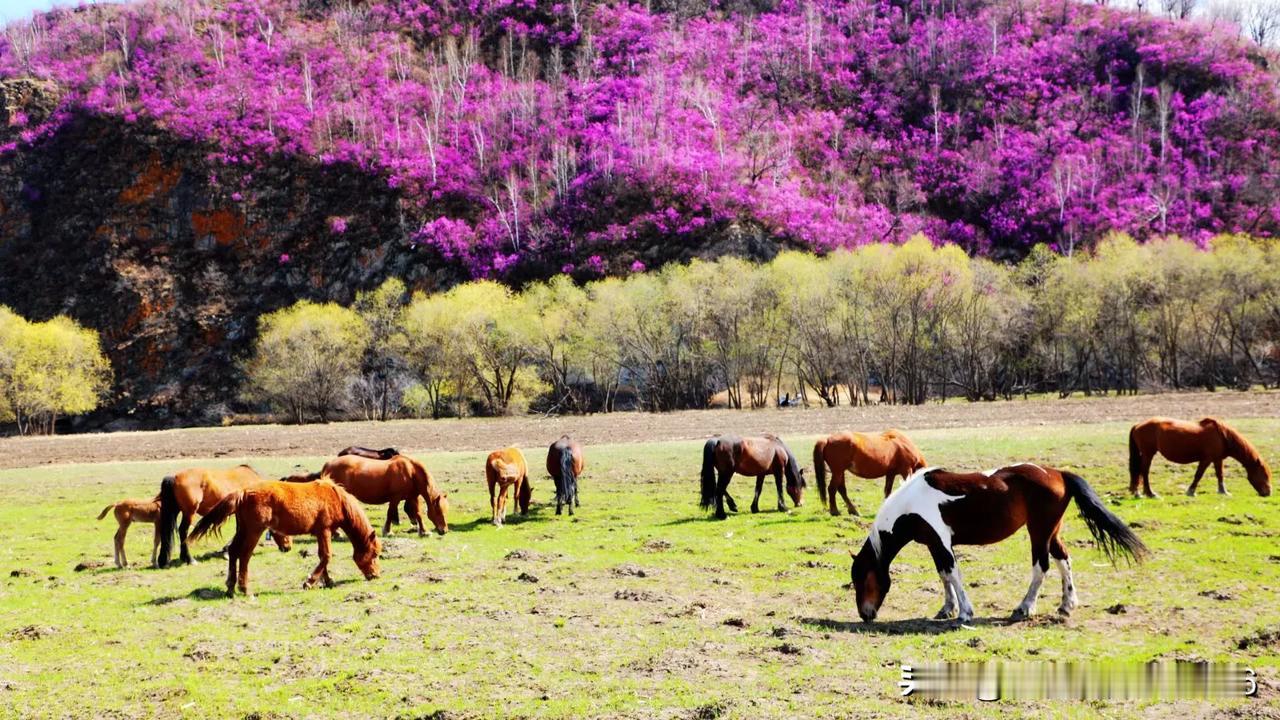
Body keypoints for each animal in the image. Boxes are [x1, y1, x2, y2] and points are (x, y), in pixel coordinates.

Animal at [158, 458, 289, 566]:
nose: (288, 548)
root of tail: (174, 478)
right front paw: (227, 550)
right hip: (189, 512)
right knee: (183, 531)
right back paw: (189, 559)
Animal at [188, 476, 378, 594]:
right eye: (375, 554)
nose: (376, 575)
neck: (336, 498)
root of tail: (243, 493)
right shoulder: (324, 530)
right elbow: (326, 556)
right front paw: (309, 582)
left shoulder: (320, 533)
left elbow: (322, 557)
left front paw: (327, 581)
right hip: (254, 531)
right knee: (245, 555)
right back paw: (245, 589)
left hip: (243, 530)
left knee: (234, 551)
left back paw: (230, 587)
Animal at [849, 461, 1152, 620]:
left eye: (862, 579)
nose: (865, 614)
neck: (910, 503)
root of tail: (1058, 474)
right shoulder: (934, 545)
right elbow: (944, 575)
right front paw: (946, 609)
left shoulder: (942, 542)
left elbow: (953, 574)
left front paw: (964, 613)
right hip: (1051, 532)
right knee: (1064, 560)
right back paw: (1067, 605)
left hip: (1038, 532)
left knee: (1041, 567)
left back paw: (1025, 607)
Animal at [1131, 412, 1269, 497]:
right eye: (1264, 475)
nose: (1268, 492)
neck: (1222, 435)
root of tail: (1138, 425)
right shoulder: (1207, 459)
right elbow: (1199, 475)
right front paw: (1191, 491)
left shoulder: (1217, 459)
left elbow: (1220, 475)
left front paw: (1223, 491)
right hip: (1148, 454)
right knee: (1144, 472)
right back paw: (1150, 493)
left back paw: (1139, 493)